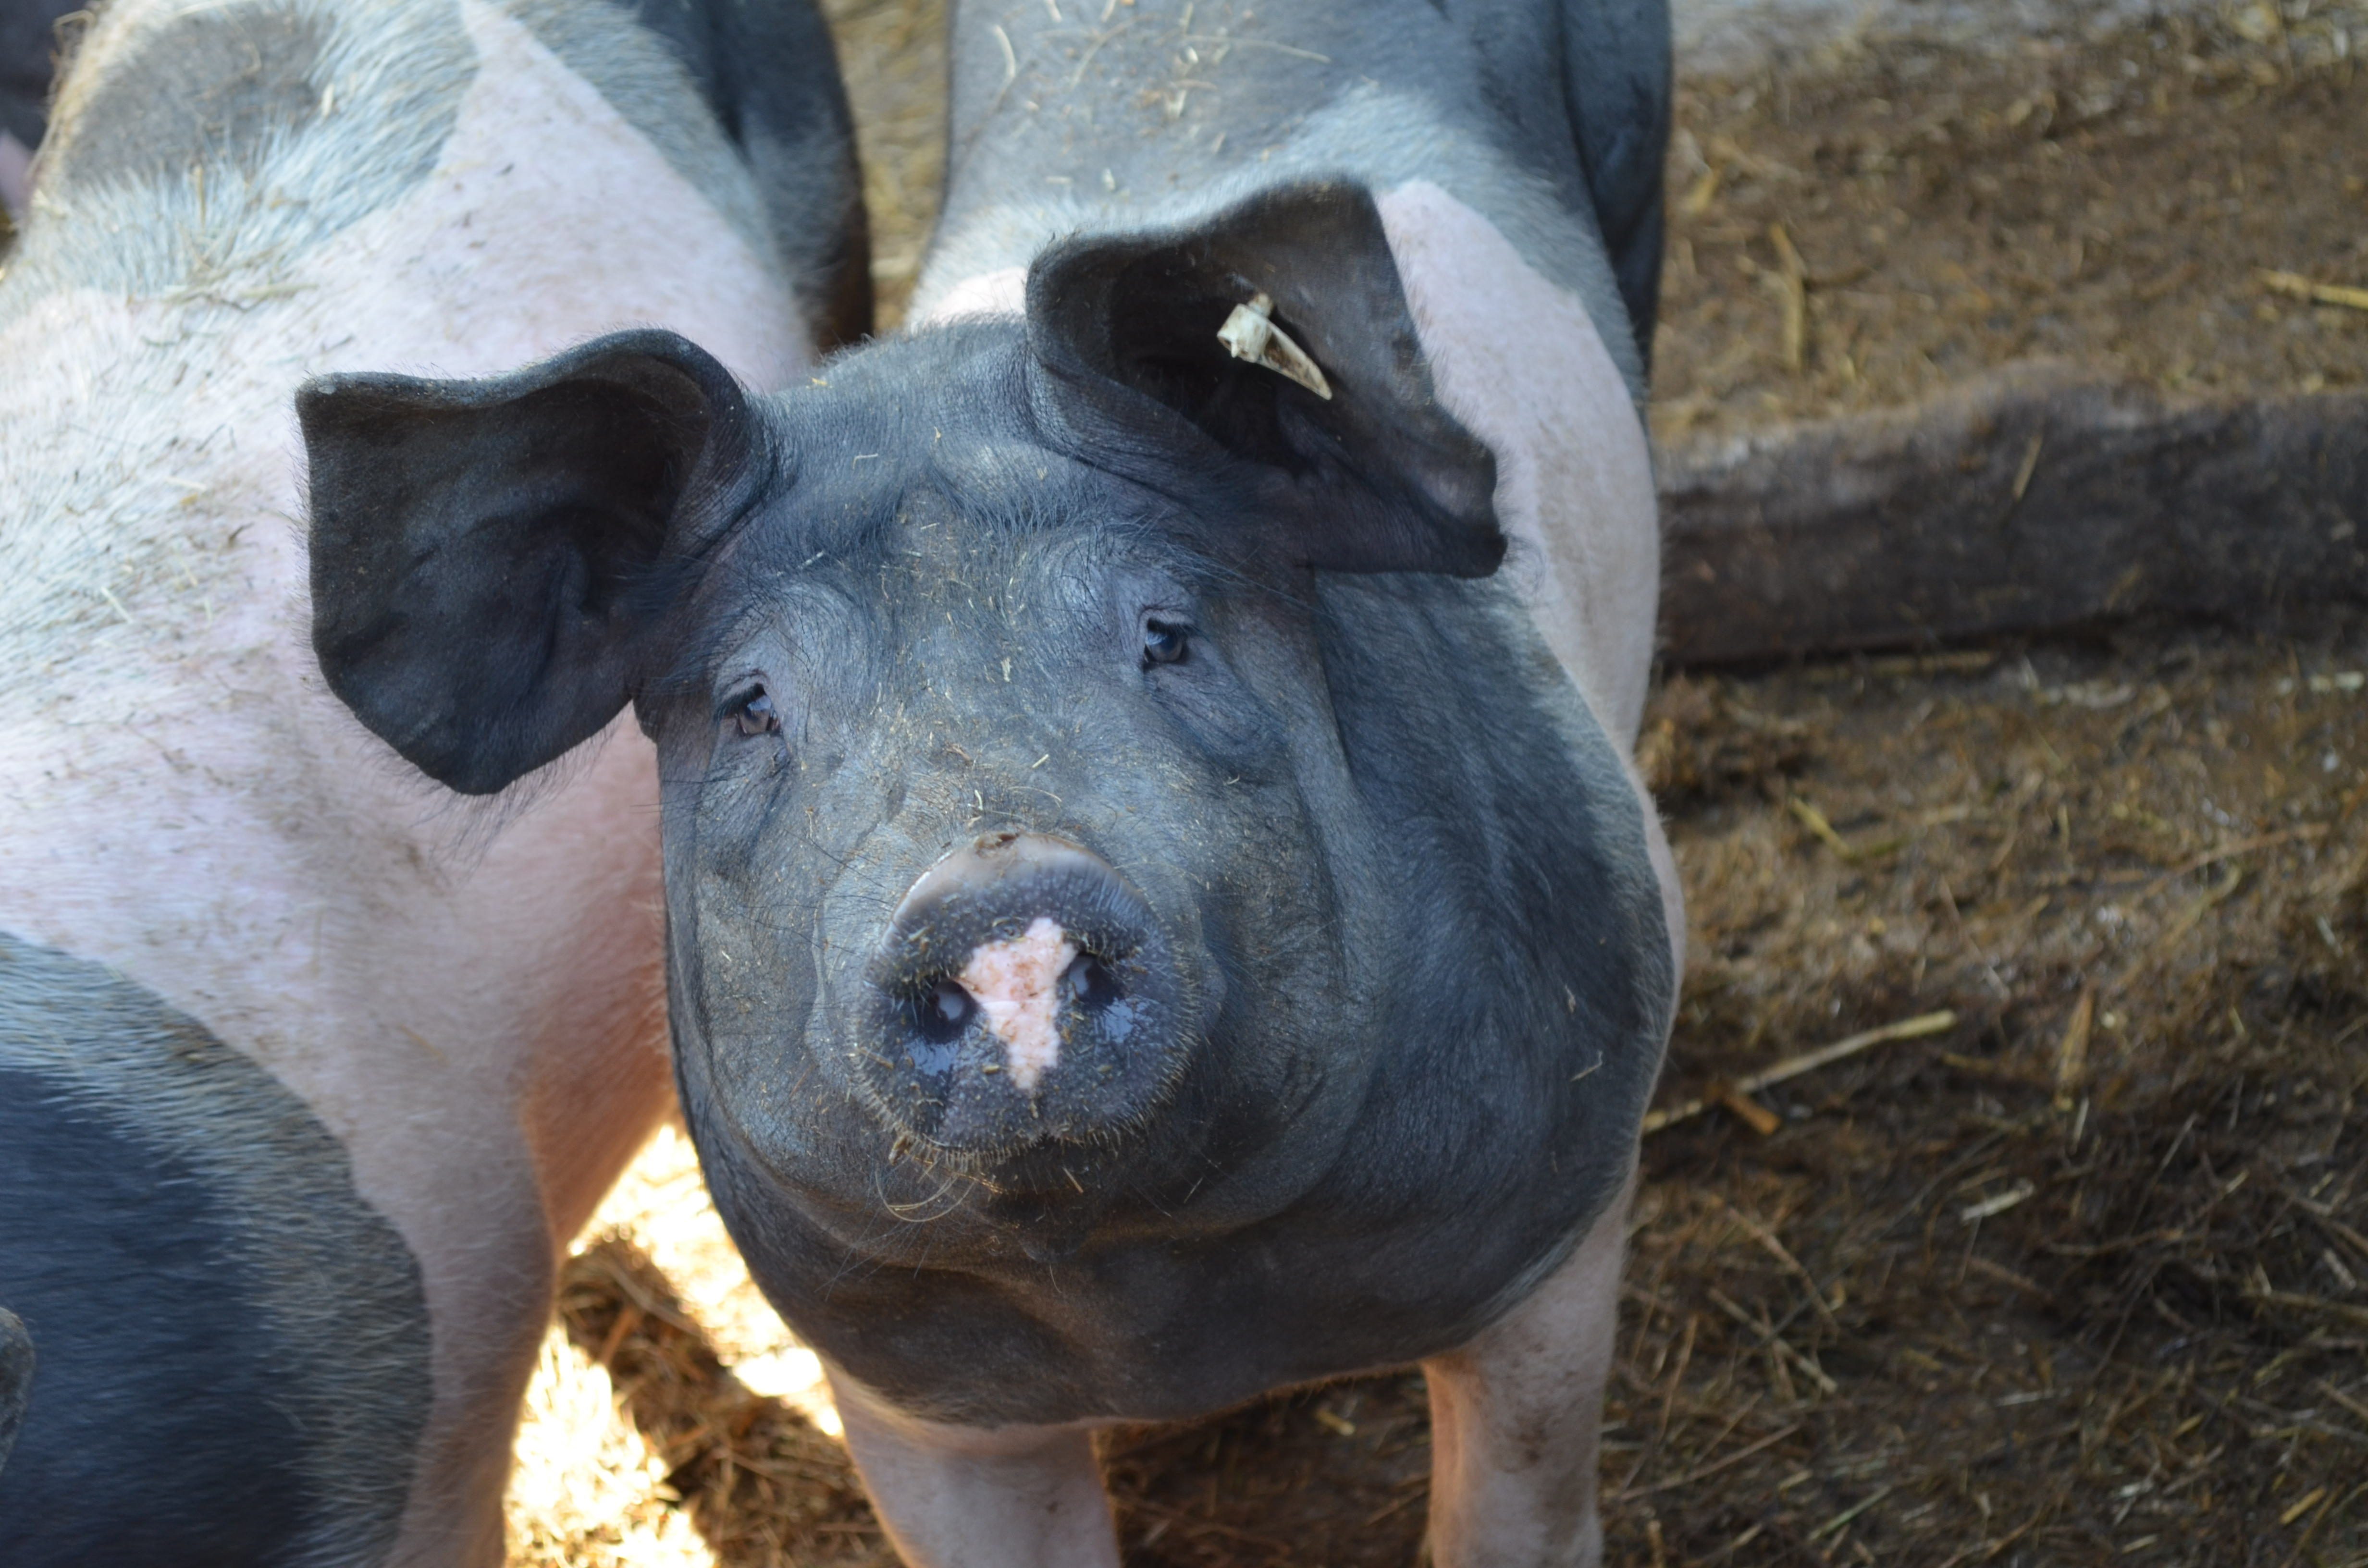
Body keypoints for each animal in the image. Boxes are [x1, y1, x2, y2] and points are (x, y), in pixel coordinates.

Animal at [296, 1, 1681, 1564]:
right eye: (751, 709)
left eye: (1167, 634)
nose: (993, 886)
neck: (1159, 1300)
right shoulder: (909, 1393)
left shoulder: (1566, 1220)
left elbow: (1515, 1501)